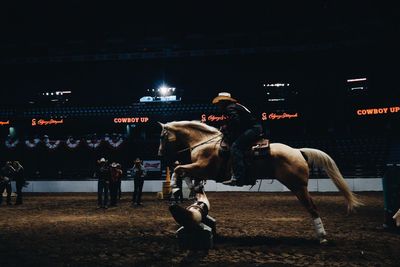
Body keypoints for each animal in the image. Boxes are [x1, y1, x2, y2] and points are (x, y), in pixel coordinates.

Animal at [158, 121, 364, 245]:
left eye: (162, 136)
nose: (159, 154)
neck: (205, 143)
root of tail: (298, 151)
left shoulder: (202, 168)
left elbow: (178, 169)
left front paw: (176, 189)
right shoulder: (198, 170)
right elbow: (184, 173)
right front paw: (190, 190)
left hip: (298, 187)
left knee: (312, 208)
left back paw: (321, 237)